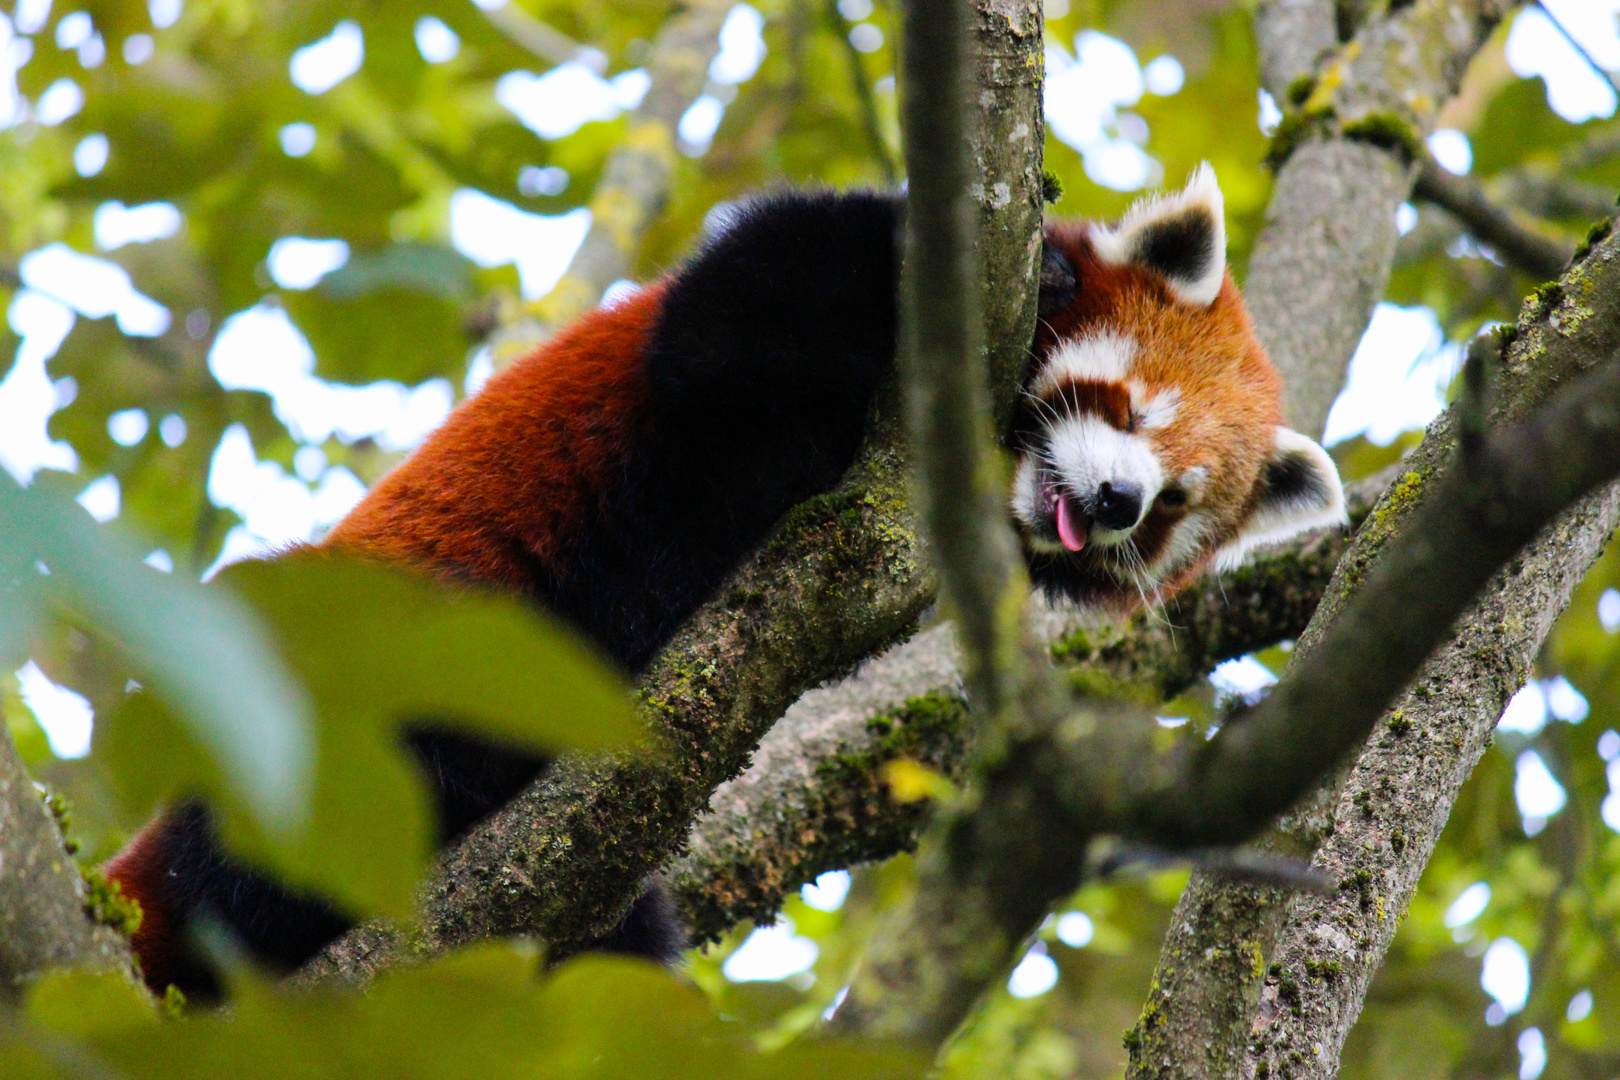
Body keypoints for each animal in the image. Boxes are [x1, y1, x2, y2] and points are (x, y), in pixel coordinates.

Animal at [104, 169, 1341, 997]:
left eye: (1177, 502)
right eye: (1131, 407)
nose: (1122, 502)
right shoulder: (727, 334)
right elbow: (741, 317)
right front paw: (1038, 263)